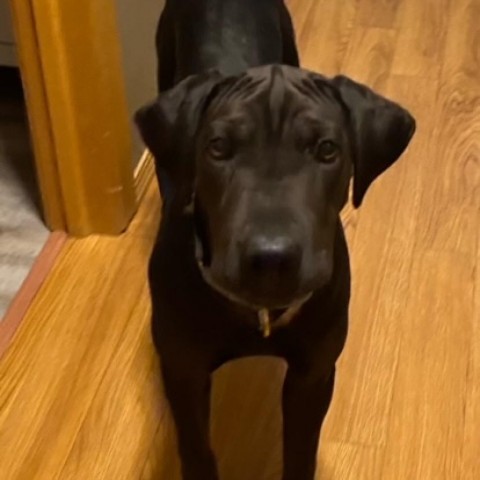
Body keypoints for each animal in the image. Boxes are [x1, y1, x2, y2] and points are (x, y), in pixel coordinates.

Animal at [135, 1, 416, 478]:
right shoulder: (184, 371)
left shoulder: (314, 373)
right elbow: (196, 448)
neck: (257, 313)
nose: (271, 257)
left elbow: (300, 450)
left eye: (327, 149)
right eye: (217, 147)